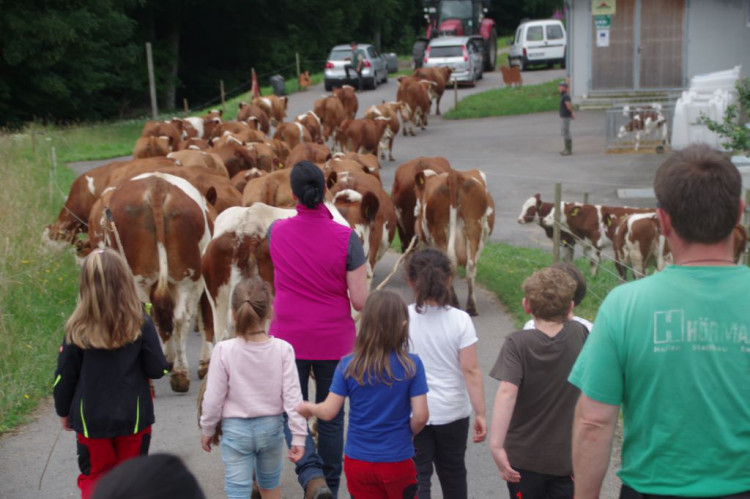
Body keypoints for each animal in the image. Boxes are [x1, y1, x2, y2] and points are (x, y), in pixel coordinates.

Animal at [414, 168, 496, 316]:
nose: (416, 211)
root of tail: (454, 175)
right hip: (473, 227)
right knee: (470, 265)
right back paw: (471, 306)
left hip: (440, 233)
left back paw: (453, 301)